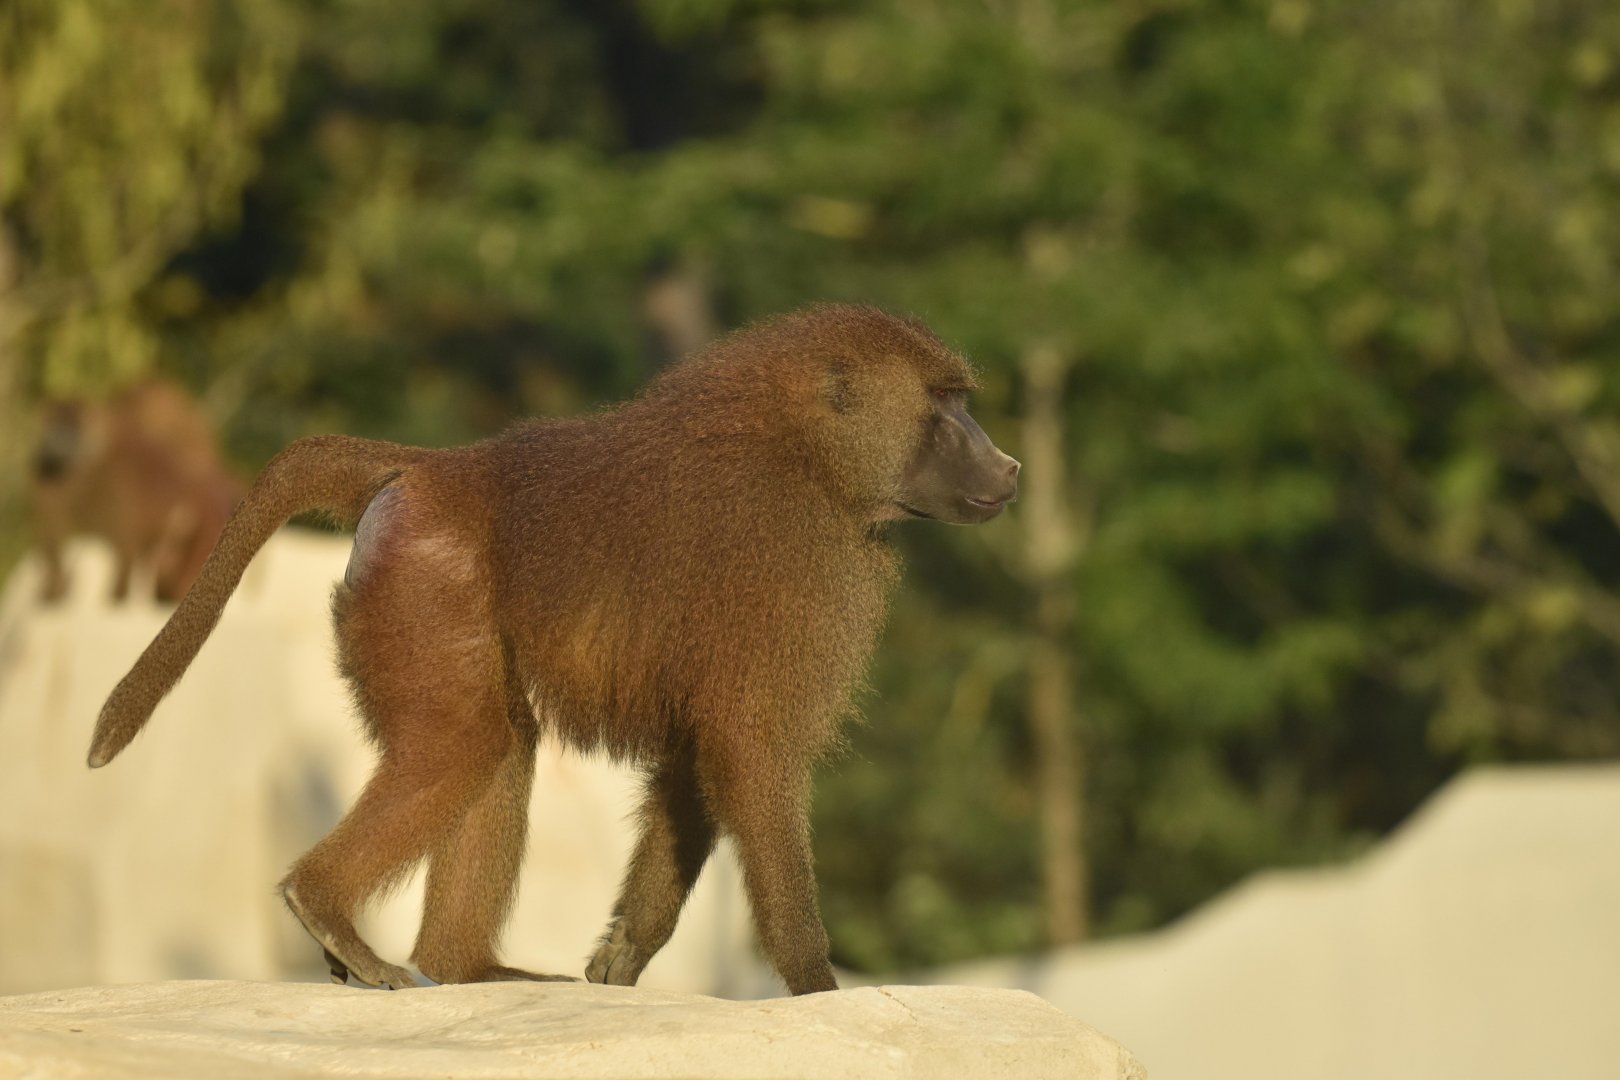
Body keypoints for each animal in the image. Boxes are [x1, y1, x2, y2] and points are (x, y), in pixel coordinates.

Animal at [86, 304, 1021, 996]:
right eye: (946, 407)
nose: (1008, 468)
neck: (810, 453)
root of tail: (440, 469)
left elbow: (695, 765)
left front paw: (622, 958)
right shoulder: (799, 572)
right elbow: (752, 756)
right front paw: (815, 986)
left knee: (499, 742)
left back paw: (465, 969)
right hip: (424, 587)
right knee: (465, 742)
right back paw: (328, 911)